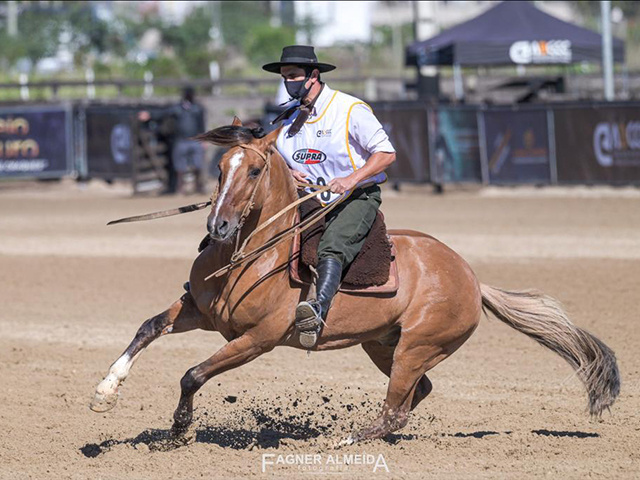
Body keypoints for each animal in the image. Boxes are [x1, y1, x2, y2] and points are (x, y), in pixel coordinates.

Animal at [91, 119, 620, 442]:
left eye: (256, 169)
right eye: (221, 168)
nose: (217, 226)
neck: (252, 254)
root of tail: (473, 278)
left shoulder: (257, 339)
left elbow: (193, 374)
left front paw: (180, 429)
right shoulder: (200, 312)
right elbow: (147, 328)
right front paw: (105, 391)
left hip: (416, 347)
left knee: (396, 406)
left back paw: (348, 438)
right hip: (382, 345)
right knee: (415, 396)